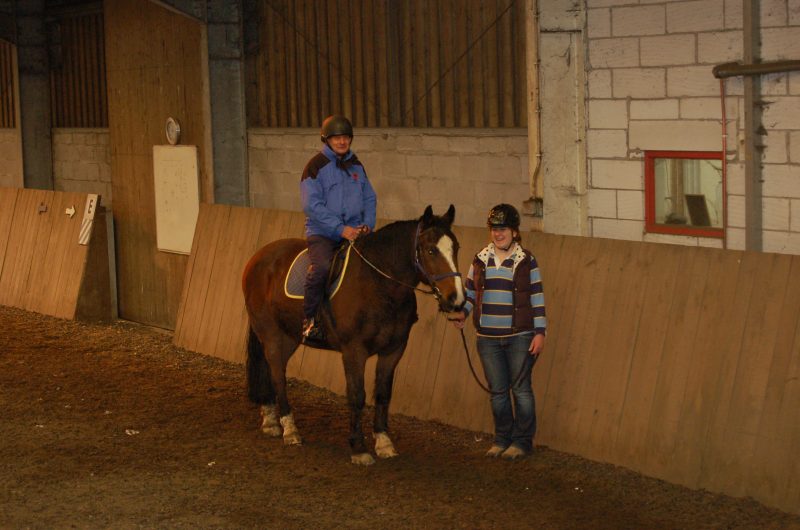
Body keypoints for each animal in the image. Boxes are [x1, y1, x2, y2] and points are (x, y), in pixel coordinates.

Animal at [241, 205, 466, 462]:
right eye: (430, 250)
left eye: (456, 248)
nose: (456, 299)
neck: (378, 284)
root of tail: (259, 257)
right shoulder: (354, 350)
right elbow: (357, 395)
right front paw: (359, 448)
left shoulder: (393, 350)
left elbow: (383, 394)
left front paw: (384, 442)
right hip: (270, 334)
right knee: (278, 375)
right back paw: (290, 430)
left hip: (289, 336)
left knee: (270, 369)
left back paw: (270, 421)